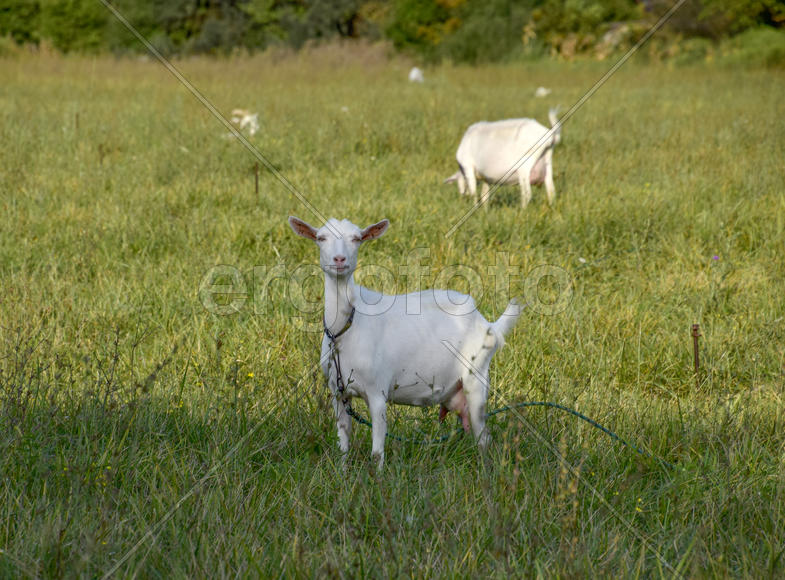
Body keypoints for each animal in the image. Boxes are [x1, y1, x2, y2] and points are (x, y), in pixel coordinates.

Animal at [288, 216, 523, 469]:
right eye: (321, 238)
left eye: (357, 238)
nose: (339, 259)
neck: (346, 328)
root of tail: (488, 325)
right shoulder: (337, 392)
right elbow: (343, 440)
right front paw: (341, 472)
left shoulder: (378, 390)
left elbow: (377, 450)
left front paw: (377, 476)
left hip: (476, 376)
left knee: (483, 436)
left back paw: (487, 470)